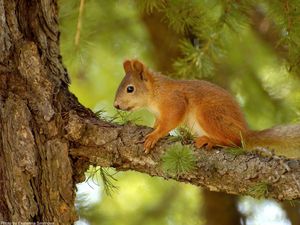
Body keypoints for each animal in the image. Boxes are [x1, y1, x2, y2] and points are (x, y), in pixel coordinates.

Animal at [113, 59, 300, 159]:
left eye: (130, 89)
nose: (116, 105)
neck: (155, 93)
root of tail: (245, 132)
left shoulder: (175, 102)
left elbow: (170, 121)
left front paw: (154, 136)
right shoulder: (159, 114)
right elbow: (159, 122)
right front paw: (153, 129)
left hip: (208, 114)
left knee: (235, 141)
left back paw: (210, 140)